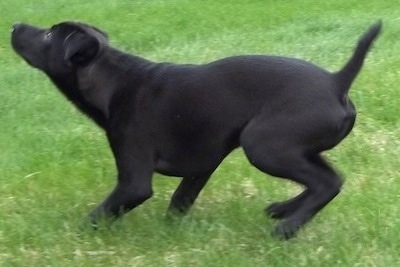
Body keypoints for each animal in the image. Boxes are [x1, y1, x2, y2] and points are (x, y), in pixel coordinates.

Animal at [10, 20, 382, 239]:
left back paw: (286, 228)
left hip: (264, 146)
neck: (111, 78)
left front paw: (73, 235)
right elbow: (180, 199)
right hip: (289, 148)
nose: (14, 24)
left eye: (47, 35)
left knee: (327, 181)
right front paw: (171, 234)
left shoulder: (133, 181)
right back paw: (283, 210)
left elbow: (103, 210)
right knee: (326, 177)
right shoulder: (202, 165)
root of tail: (337, 81)